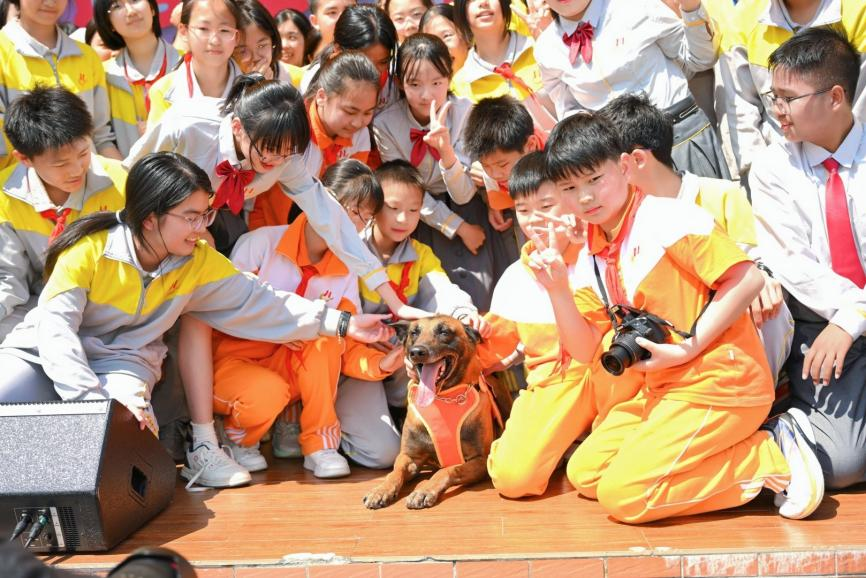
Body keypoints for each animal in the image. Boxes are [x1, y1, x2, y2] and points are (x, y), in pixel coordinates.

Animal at [363, 316, 511, 510]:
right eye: (414, 332)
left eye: (444, 332)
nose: (417, 352)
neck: (442, 398)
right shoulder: (409, 456)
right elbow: (395, 472)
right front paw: (381, 490)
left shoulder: (480, 460)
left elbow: (446, 470)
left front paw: (424, 491)